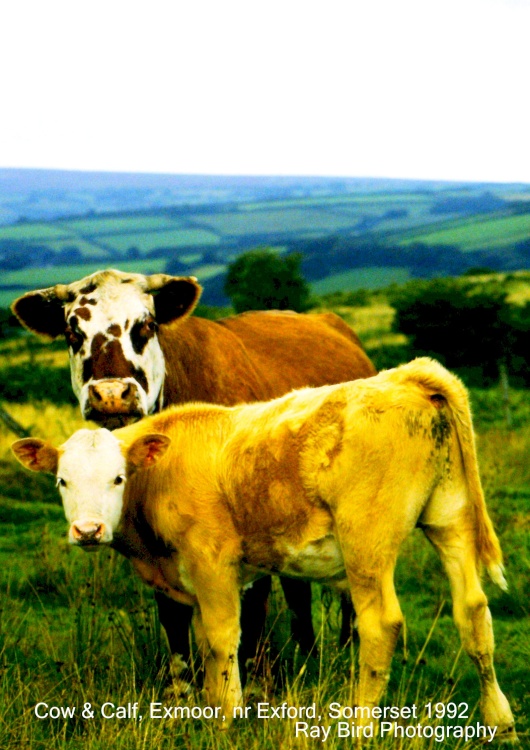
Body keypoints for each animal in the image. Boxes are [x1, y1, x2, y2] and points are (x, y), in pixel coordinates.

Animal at [11, 268, 376, 679]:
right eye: (73, 334)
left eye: (147, 325)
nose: (112, 394)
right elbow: (173, 618)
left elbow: (251, 613)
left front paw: (251, 681)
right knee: (298, 591)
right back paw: (308, 654)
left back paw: (347, 649)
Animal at [12, 358, 516, 740]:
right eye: (62, 481)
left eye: (118, 478)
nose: (88, 530)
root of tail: (407, 376)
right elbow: (209, 645)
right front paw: (214, 707)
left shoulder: (212, 562)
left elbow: (222, 640)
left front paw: (228, 718)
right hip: (450, 518)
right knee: (473, 611)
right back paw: (500, 720)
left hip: (366, 542)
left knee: (381, 625)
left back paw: (359, 727)